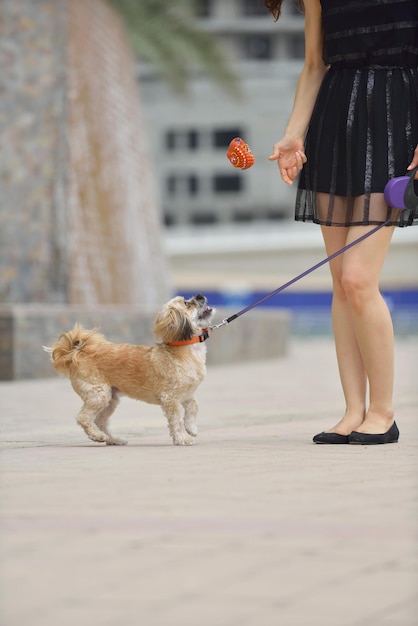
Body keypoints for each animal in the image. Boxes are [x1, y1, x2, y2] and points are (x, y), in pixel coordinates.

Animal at [45, 292, 216, 444]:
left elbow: (194, 406)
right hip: (98, 394)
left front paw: (191, 427)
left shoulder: (187, 393)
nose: (200, 295)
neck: (184, 348)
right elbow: (176, 419)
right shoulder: (170, 397)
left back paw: (113, 439)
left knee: (100, 421)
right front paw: (182, 438)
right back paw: (97, 436)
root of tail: (79, 352)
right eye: (187, 303)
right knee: (83, 418)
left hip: (110, 399)